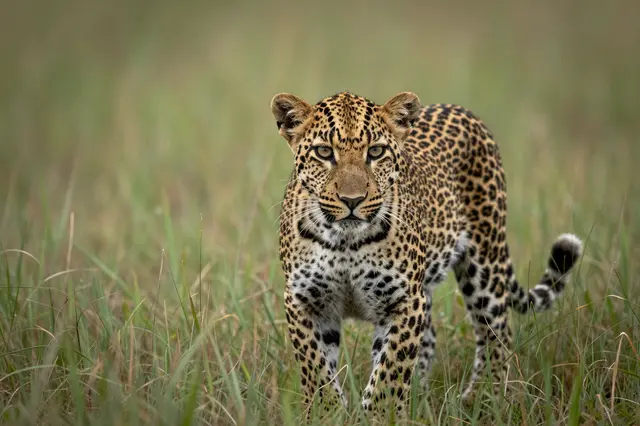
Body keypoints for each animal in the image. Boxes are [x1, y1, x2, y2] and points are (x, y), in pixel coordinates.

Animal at [270, 90, 582, 418]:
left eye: (376, 151)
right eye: (324, 152)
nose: (352, 200)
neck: (346, 240)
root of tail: (461, 110)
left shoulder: (406, 300)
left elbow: (390, 372)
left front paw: (381, 416)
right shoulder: (303, 300)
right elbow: (316, 367)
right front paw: (327, 412)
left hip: (485, 263)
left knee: (496, 333)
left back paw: (482, 400)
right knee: (432, 339)